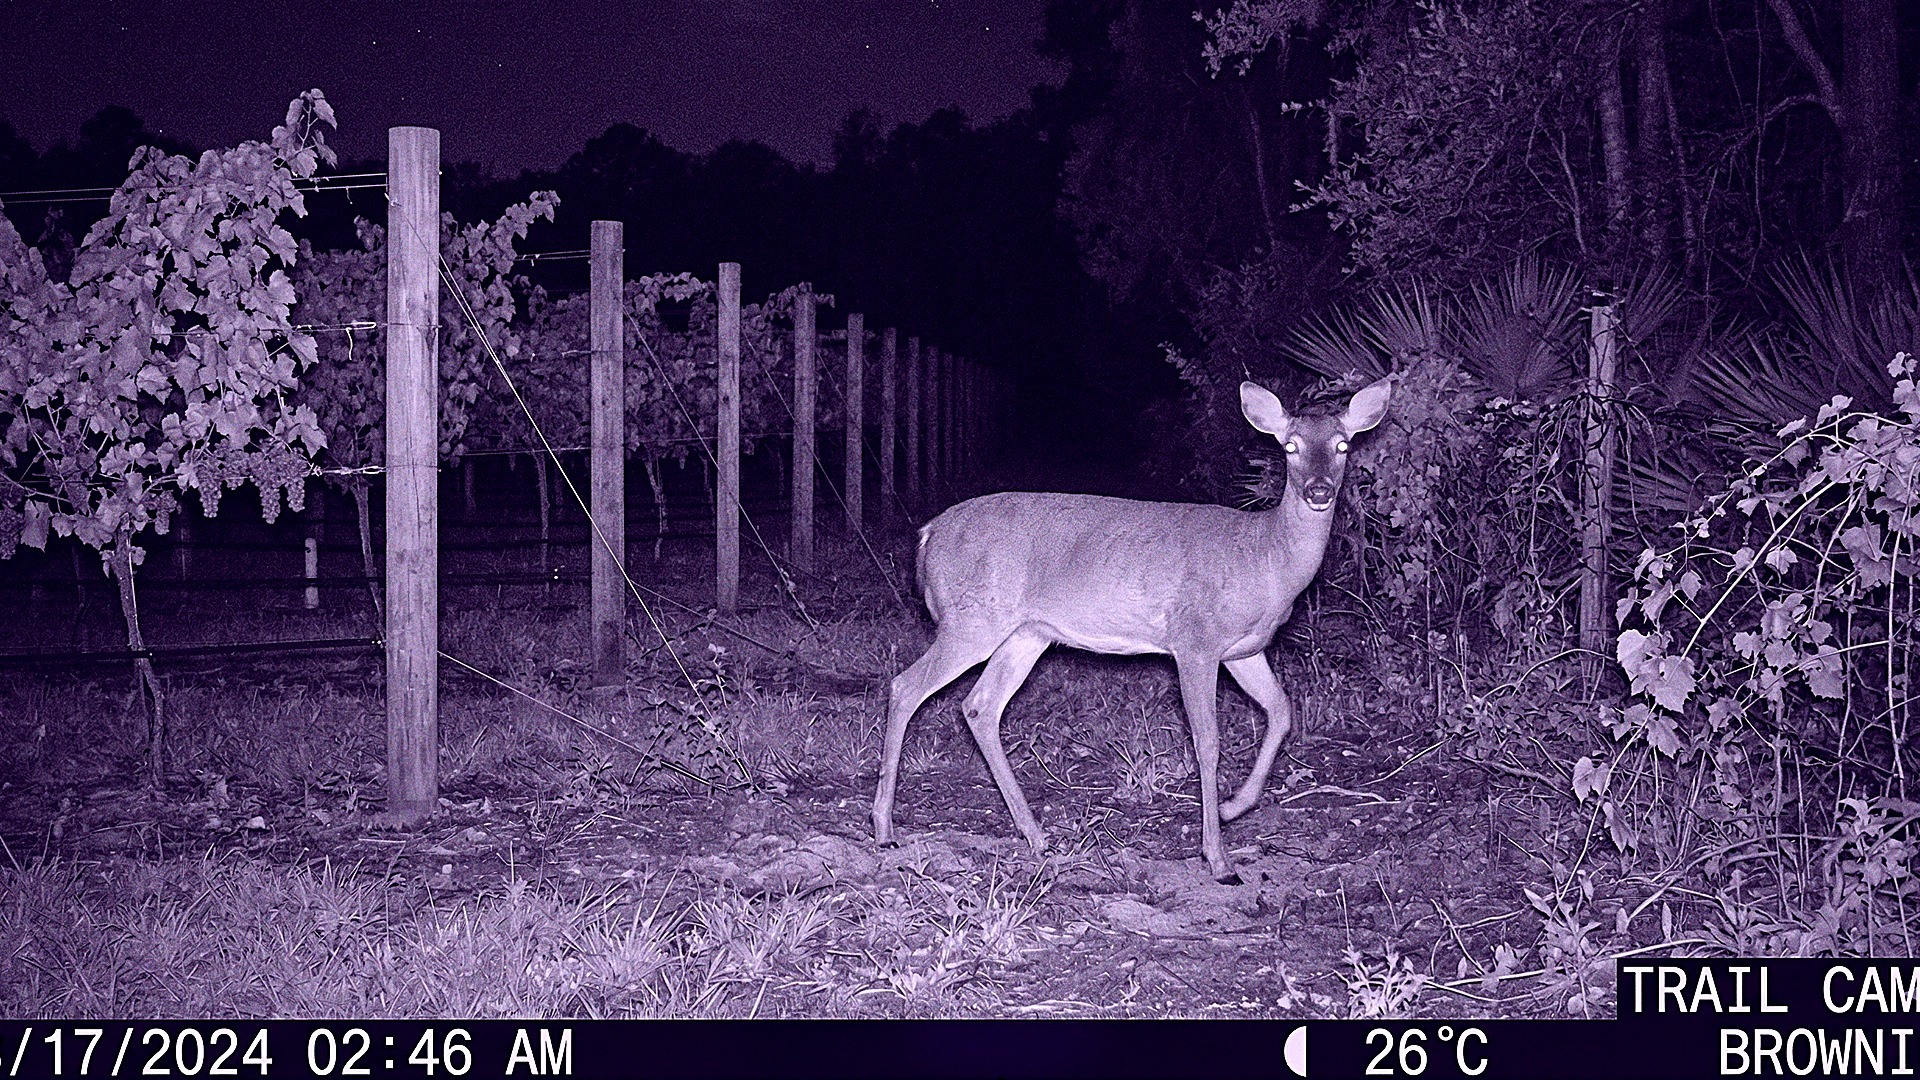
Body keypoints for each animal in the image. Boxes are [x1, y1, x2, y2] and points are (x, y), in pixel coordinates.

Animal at [872, 377, 1393, 883]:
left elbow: (1282, 711)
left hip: (1027, 633)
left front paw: (1231, 808)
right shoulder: (1194, 639)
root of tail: (928, 535)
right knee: (905, 687)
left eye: (1343, 445)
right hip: (972, 619)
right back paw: (884, 828)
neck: (1266, 560)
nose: (1319, 491)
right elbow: (1207, 742)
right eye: (1289, 446)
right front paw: (1218, 859)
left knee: (979, 706)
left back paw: (1036, 835)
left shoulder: (1244, 651)